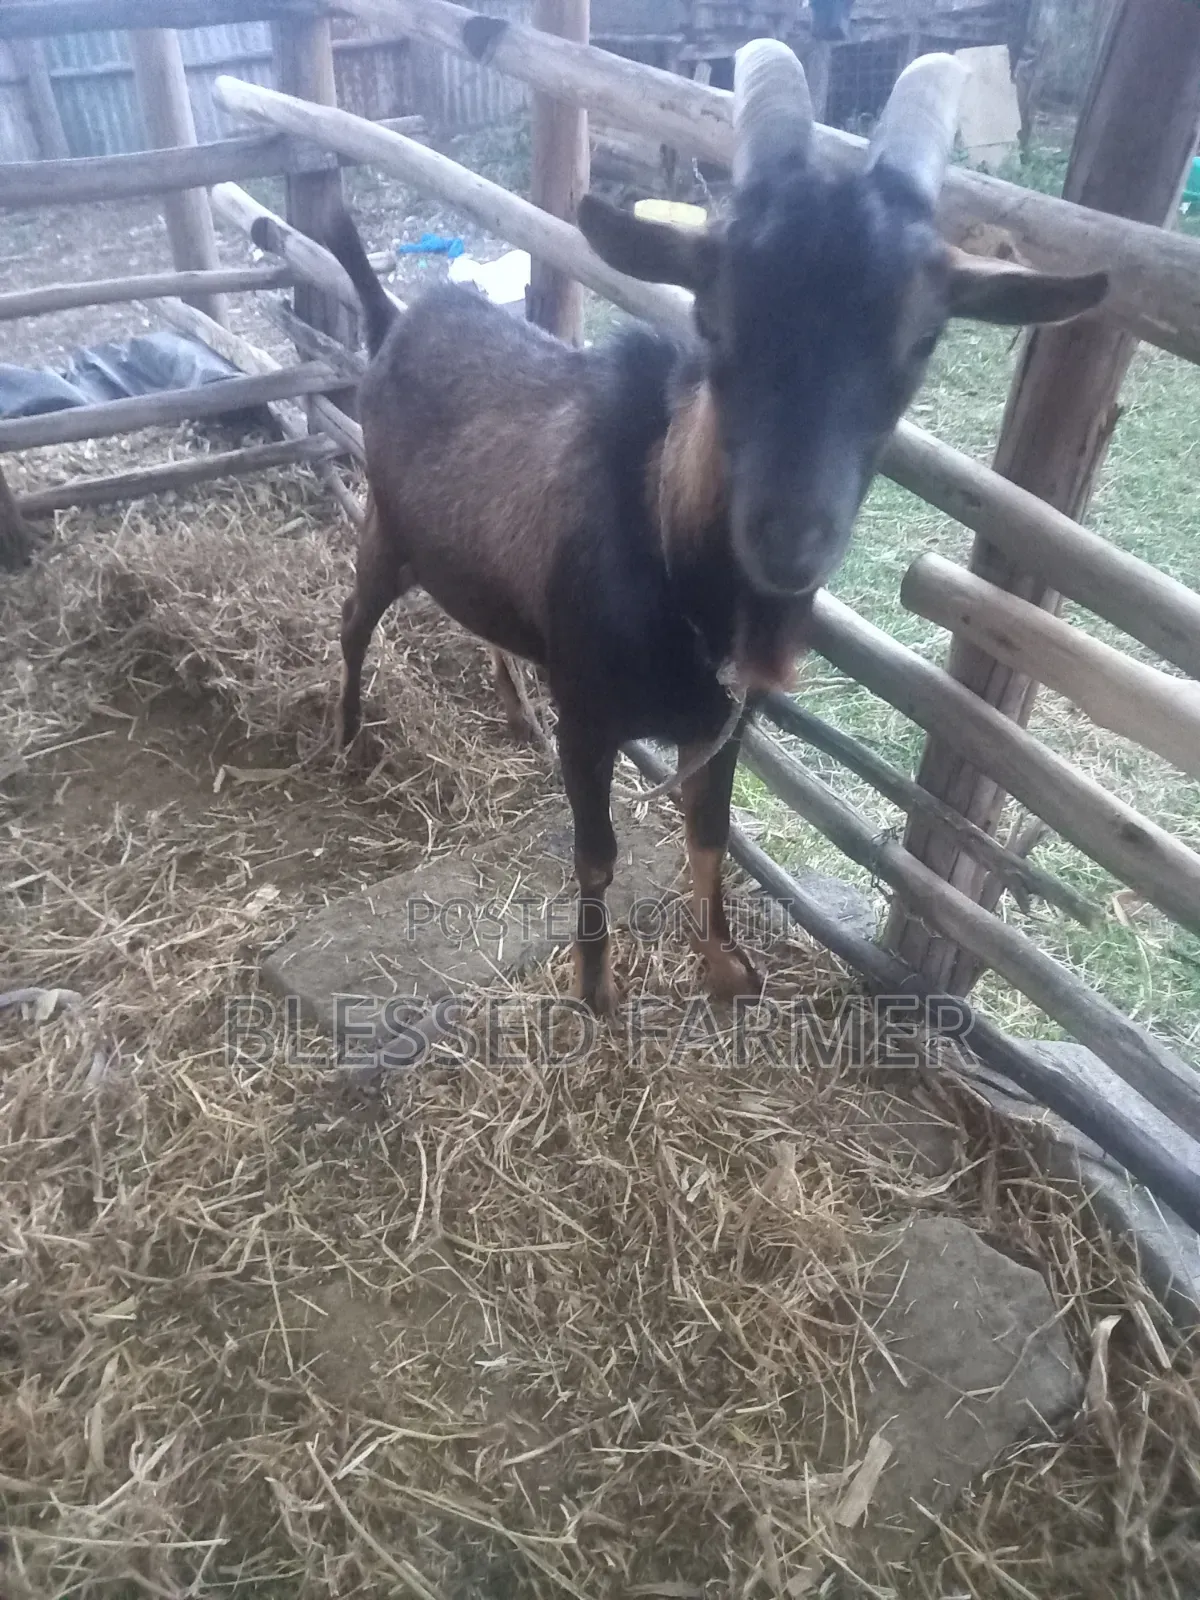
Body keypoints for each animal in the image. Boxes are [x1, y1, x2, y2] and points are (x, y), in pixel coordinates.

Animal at [322, 40, 1107, 1016]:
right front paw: (596, 989)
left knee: (480, 623)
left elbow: (712, 834)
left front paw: (727, 970)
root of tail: (396, 317)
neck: (662, 543)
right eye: (712, 312)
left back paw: (511, 710)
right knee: (354, 620)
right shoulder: (591, 717)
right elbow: (597, 853)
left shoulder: (722, 721)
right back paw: (346, 738)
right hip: (388, 530)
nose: (788, 536)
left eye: (924, 337)